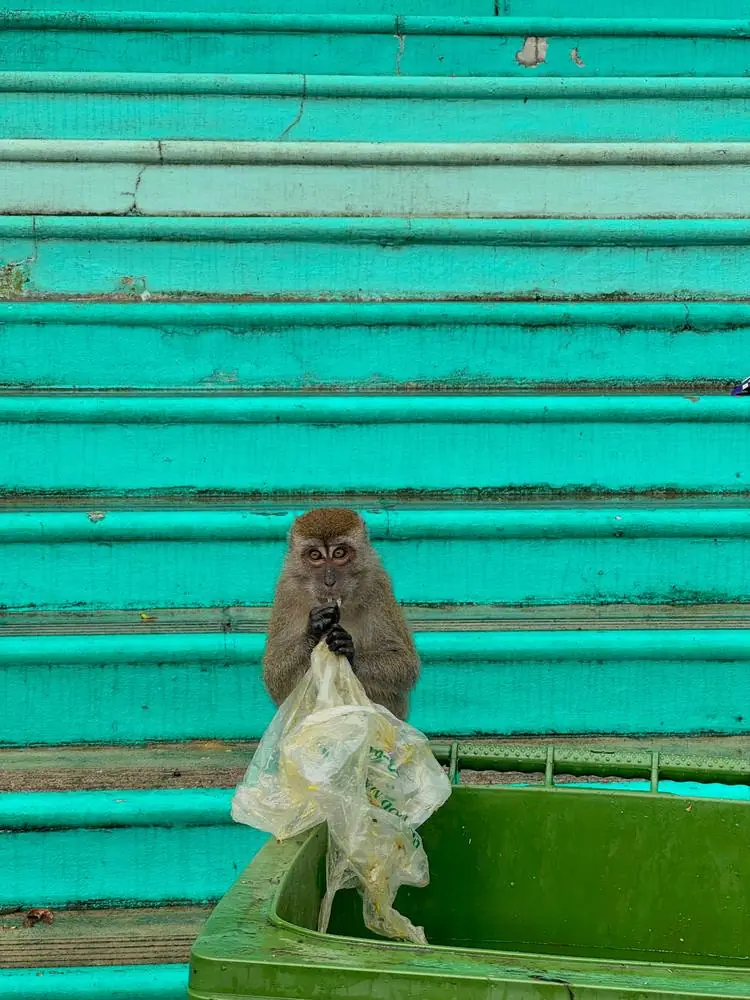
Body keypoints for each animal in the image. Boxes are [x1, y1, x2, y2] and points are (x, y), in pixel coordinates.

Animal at [263, 507, 419, 720]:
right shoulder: (286, 590)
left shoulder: (377, 583)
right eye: (315, 555)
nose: (329, 581)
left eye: (339, 553)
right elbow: (274, 676)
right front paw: (315, 627)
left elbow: (405, 664)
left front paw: (347, 649)